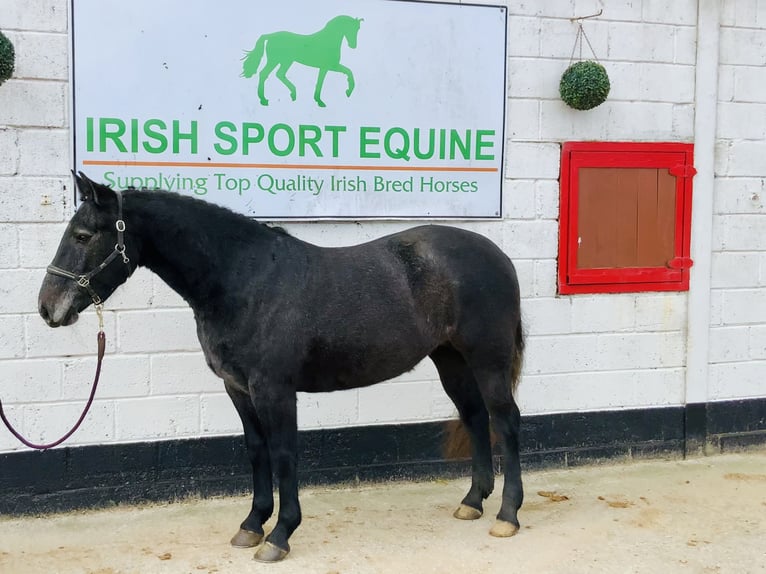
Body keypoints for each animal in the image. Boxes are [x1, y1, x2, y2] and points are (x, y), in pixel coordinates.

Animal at [37, 173, 528, 564]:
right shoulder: (238, 389)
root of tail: (499, 256)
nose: (46, 308)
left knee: (505, 420)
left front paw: (280, 535)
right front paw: (252, 524)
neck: (243, 280)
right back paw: (472, 501)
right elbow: (257, 451)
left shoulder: (274, 390)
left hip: (487, 358)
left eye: (82, 235)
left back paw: (507, 515)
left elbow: (284, 453)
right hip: (451, 358)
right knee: (475, 416)